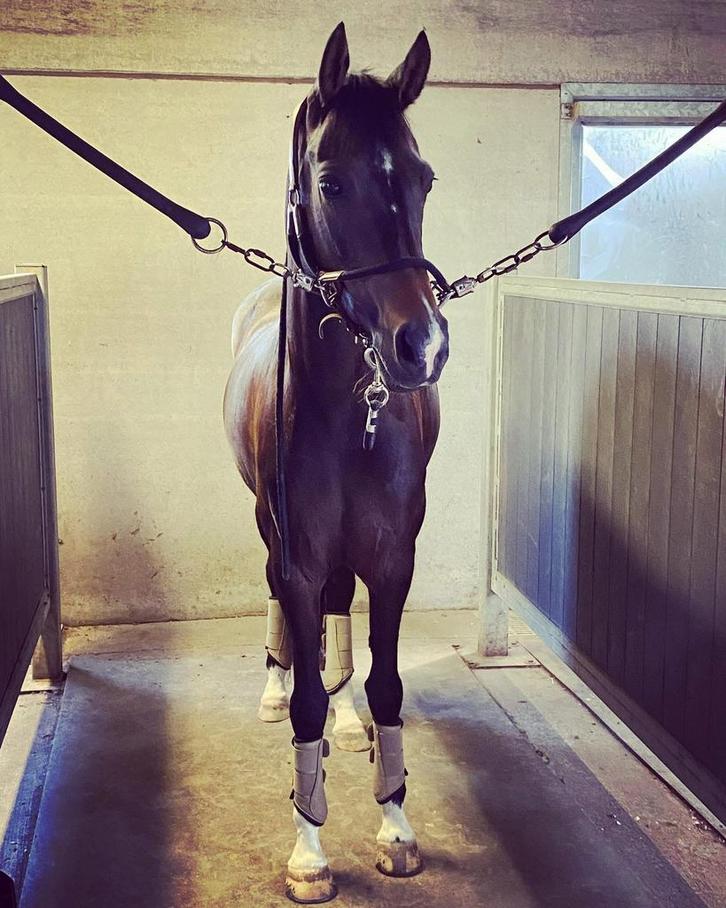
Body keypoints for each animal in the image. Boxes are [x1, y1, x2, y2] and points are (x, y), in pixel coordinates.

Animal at [224, 22, 449, 903]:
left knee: (336, 617)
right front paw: (309, 849)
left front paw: (396, 827)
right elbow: (305, 702)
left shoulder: (393, 558)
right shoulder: (295, 551)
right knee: (291, 622)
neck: (348, 411)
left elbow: (385, 685)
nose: (422, 345)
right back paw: (273, 684)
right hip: (266, 527)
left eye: (422, 177)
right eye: (331, 181)